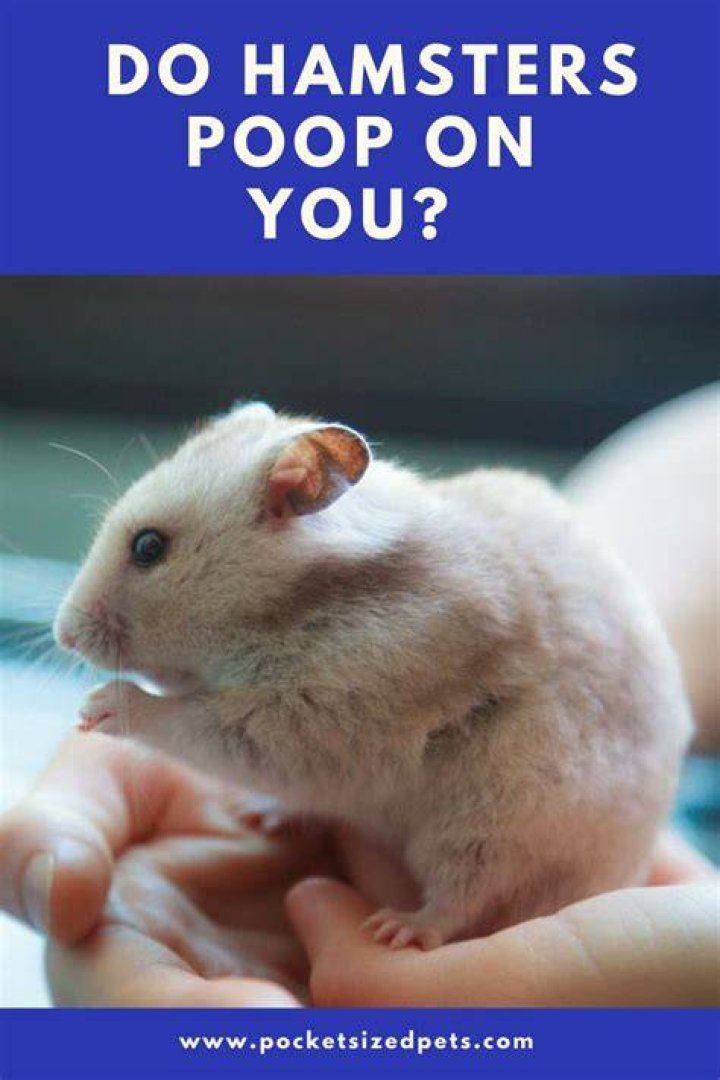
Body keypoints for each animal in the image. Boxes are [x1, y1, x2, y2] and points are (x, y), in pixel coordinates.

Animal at [54, 402, 692, 949]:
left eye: (149, 547)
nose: (62, 634)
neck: (295, 607)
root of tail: (623, 870)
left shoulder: (320, 719)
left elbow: (200, 723)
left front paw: (97, 705)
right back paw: (264, 814)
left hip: (495, 827)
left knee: (466, 900)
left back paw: (399, 929)